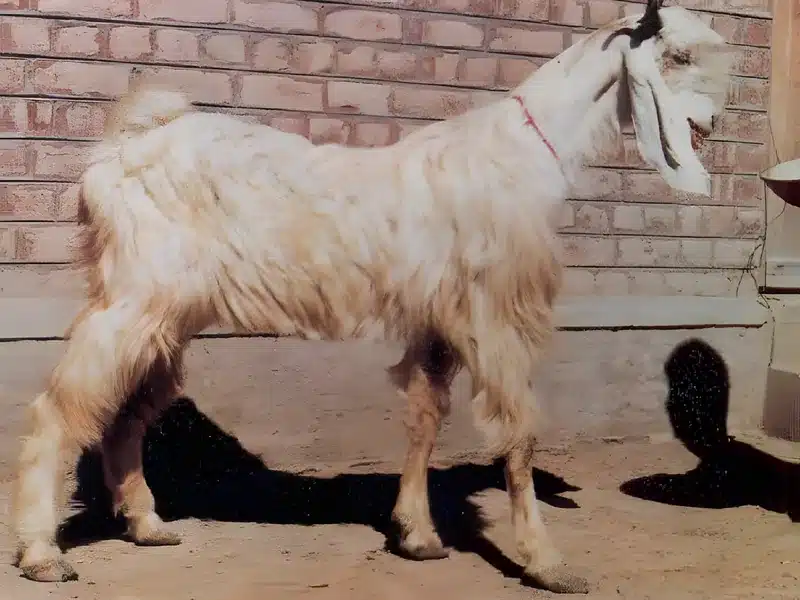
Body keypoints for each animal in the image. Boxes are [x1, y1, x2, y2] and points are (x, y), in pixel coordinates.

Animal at [13, 1, 732, 593]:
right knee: (58, 409)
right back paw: (43, 553)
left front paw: (417, 535)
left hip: (166, 315)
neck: (521, 155)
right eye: (676, 55)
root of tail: (120, 149)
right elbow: (519, 435)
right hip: (133, 300)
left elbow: (424, 419)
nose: (711, 124)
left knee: (124, 415)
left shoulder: (438, 323)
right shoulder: (495, 315)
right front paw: (546, 562)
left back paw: (146, 524)